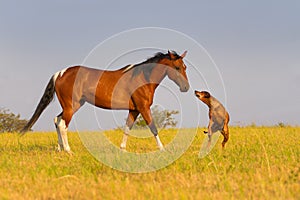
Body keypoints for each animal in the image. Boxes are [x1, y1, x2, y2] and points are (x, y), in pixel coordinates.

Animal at [20, 50, 190, 152]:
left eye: (184, 67)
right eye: (176, 68)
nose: (186, 87)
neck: (142, 77)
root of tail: (60, 73)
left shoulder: (134, 110)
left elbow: (127, 128)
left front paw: (122, 149)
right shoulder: (143, 108)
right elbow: (153, 128)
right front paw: (162, 149)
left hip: (74, 105)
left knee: (57, 120)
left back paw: (60, 148)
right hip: (71, 106)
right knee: (62, 124)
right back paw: (68, 151)